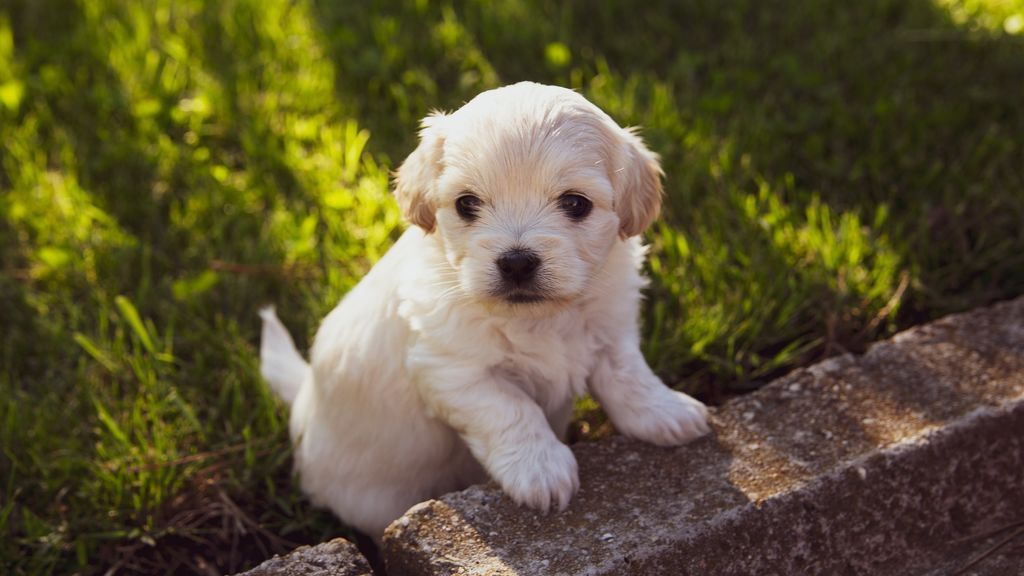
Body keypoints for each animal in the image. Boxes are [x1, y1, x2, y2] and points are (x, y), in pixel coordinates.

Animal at [262, 80, 712, 537]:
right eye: (467, 204)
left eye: (575, 203)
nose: (516, 262)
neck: (540, 319)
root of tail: (303, 401)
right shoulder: (453, 370)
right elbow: (511, 409)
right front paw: (541, 469)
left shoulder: (610, 329)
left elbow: (628, 375)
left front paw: (666, 412)